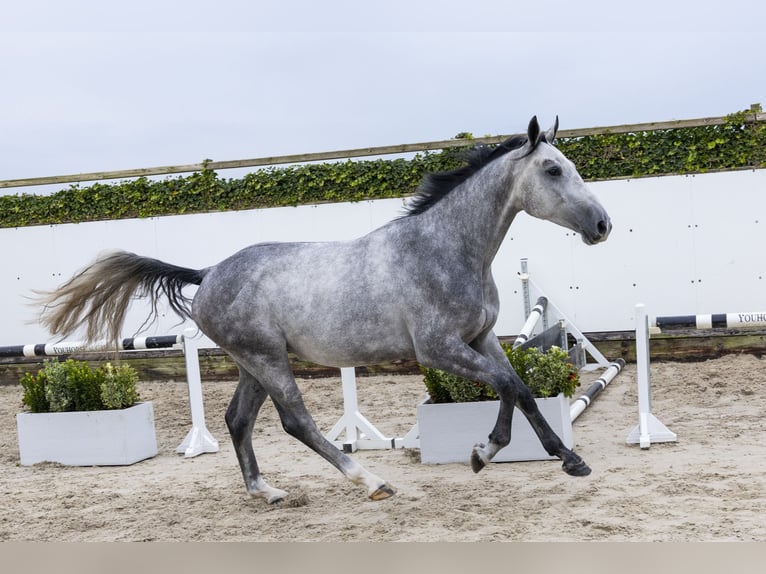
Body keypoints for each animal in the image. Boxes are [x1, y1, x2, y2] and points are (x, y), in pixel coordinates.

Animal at [36, 117, 616, 504]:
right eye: (552, 169)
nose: (603, 225)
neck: (444, 248)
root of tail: (209, 273)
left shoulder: (481, 339)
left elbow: (517, 387)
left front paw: (531, 456)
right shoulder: (438, 350)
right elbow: (511, 385)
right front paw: (515, 455)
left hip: (252, 363)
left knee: (238, 419)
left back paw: (266, 491)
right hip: (268, 359)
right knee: (296, 421)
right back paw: (371, 481)